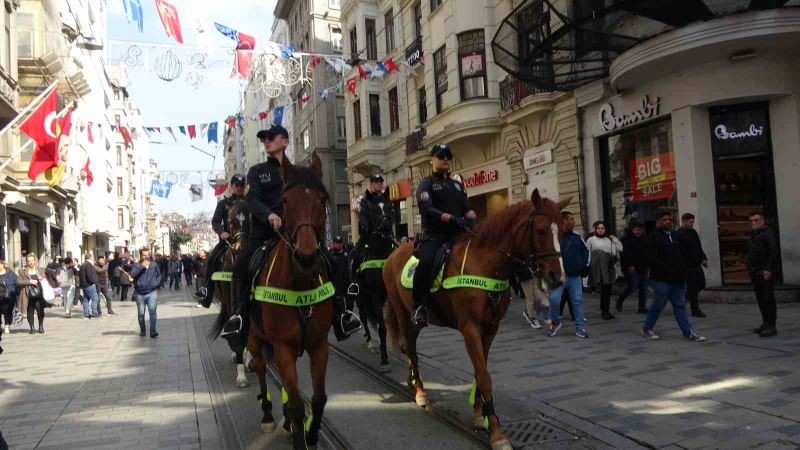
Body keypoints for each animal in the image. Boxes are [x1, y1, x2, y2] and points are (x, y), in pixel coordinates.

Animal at [244, 154, 332, 446]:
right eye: (285, 200)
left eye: (322, 199)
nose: (306, 256)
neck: (300, 285)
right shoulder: (283, 347)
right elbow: (295, 404)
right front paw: (300, 436)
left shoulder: (319, 345)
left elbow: (318, 398)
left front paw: (312, 433)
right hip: (254, 337)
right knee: (261, 367)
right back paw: (268, 416)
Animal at [382, 190, 564, 450]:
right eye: (540, 230)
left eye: (564, 229)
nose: (556, 278)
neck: (485, 264)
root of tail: (392, 255)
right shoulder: (470, 329)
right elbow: (485, 377)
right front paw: (496, 433)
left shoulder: (490, 329)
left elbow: (480, 372)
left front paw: (480, 416)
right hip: (403, 314)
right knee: (412, 351)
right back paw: (420, 392)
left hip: (416, 320)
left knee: (411, 347)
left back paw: (412, 382)